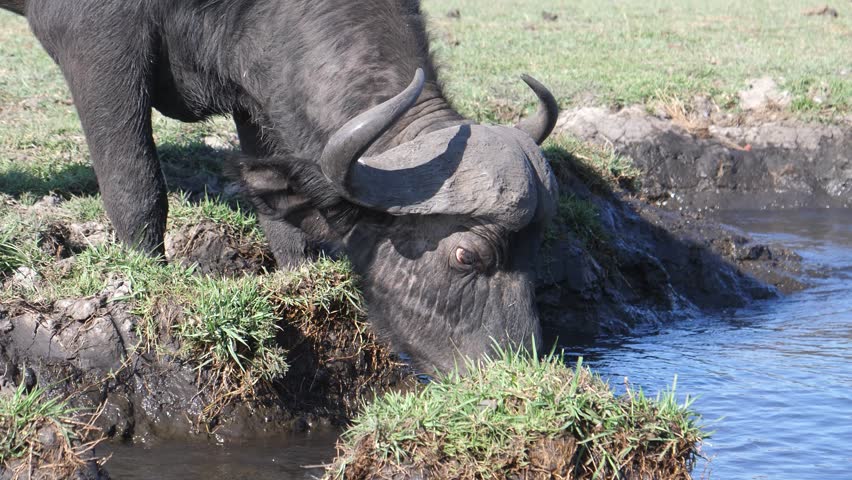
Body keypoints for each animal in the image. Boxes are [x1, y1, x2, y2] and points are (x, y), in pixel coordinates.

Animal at [1, 0, 559, 372]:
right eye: (466, 256)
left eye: (537, 251)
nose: (516, 369)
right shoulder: (95, 39)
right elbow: (135, 183)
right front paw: (147, 274)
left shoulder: (256, 93)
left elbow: (277, 209)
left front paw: (296, 271)